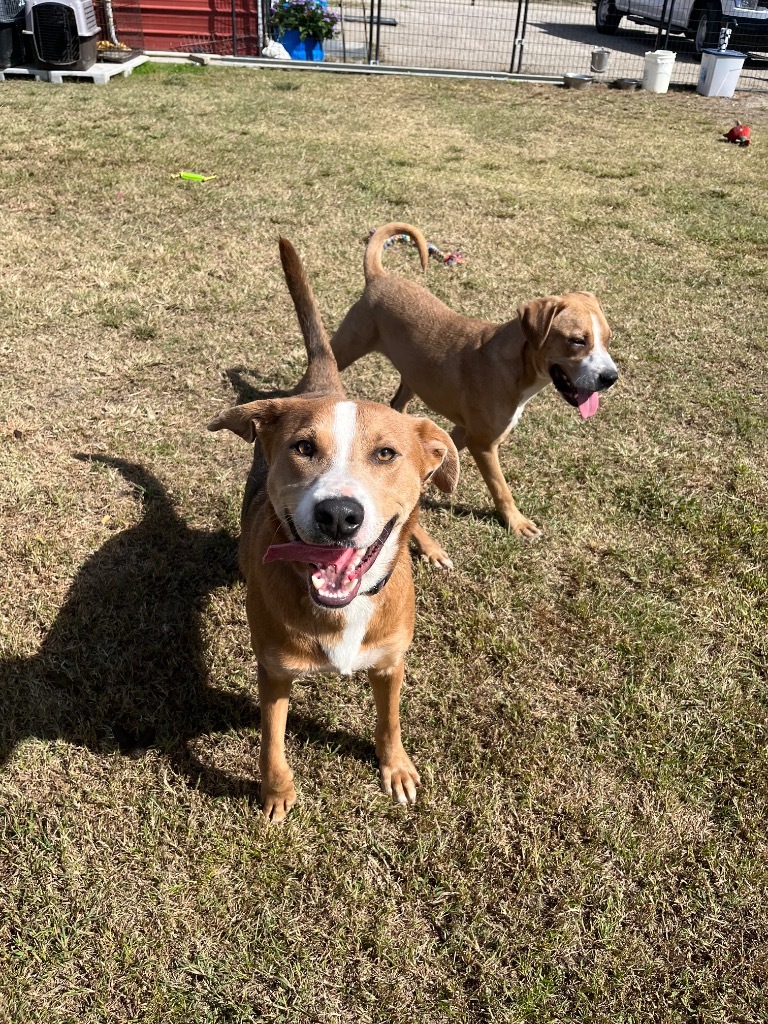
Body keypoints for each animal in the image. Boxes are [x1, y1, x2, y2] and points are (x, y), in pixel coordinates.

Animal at [207, 235, 460, 819]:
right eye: (303, 447)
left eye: (386, 453)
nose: (339, 514)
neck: (343, 606)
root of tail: (321, 380)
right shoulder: (274, 672)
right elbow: (271, 740)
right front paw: (276, 792)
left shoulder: (390, 664)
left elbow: (390, 721)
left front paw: (396, 767)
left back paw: (429, 544)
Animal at [331, 222, 618, 569]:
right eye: (577, 340)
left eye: (608, 339)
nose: (611, 378)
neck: (516, 366)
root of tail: (380, 277)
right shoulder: (484, 443)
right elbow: (500, 487)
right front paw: (516, 523)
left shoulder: (463, 430)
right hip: (346, 348)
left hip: (413, 376)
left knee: (397, 403)